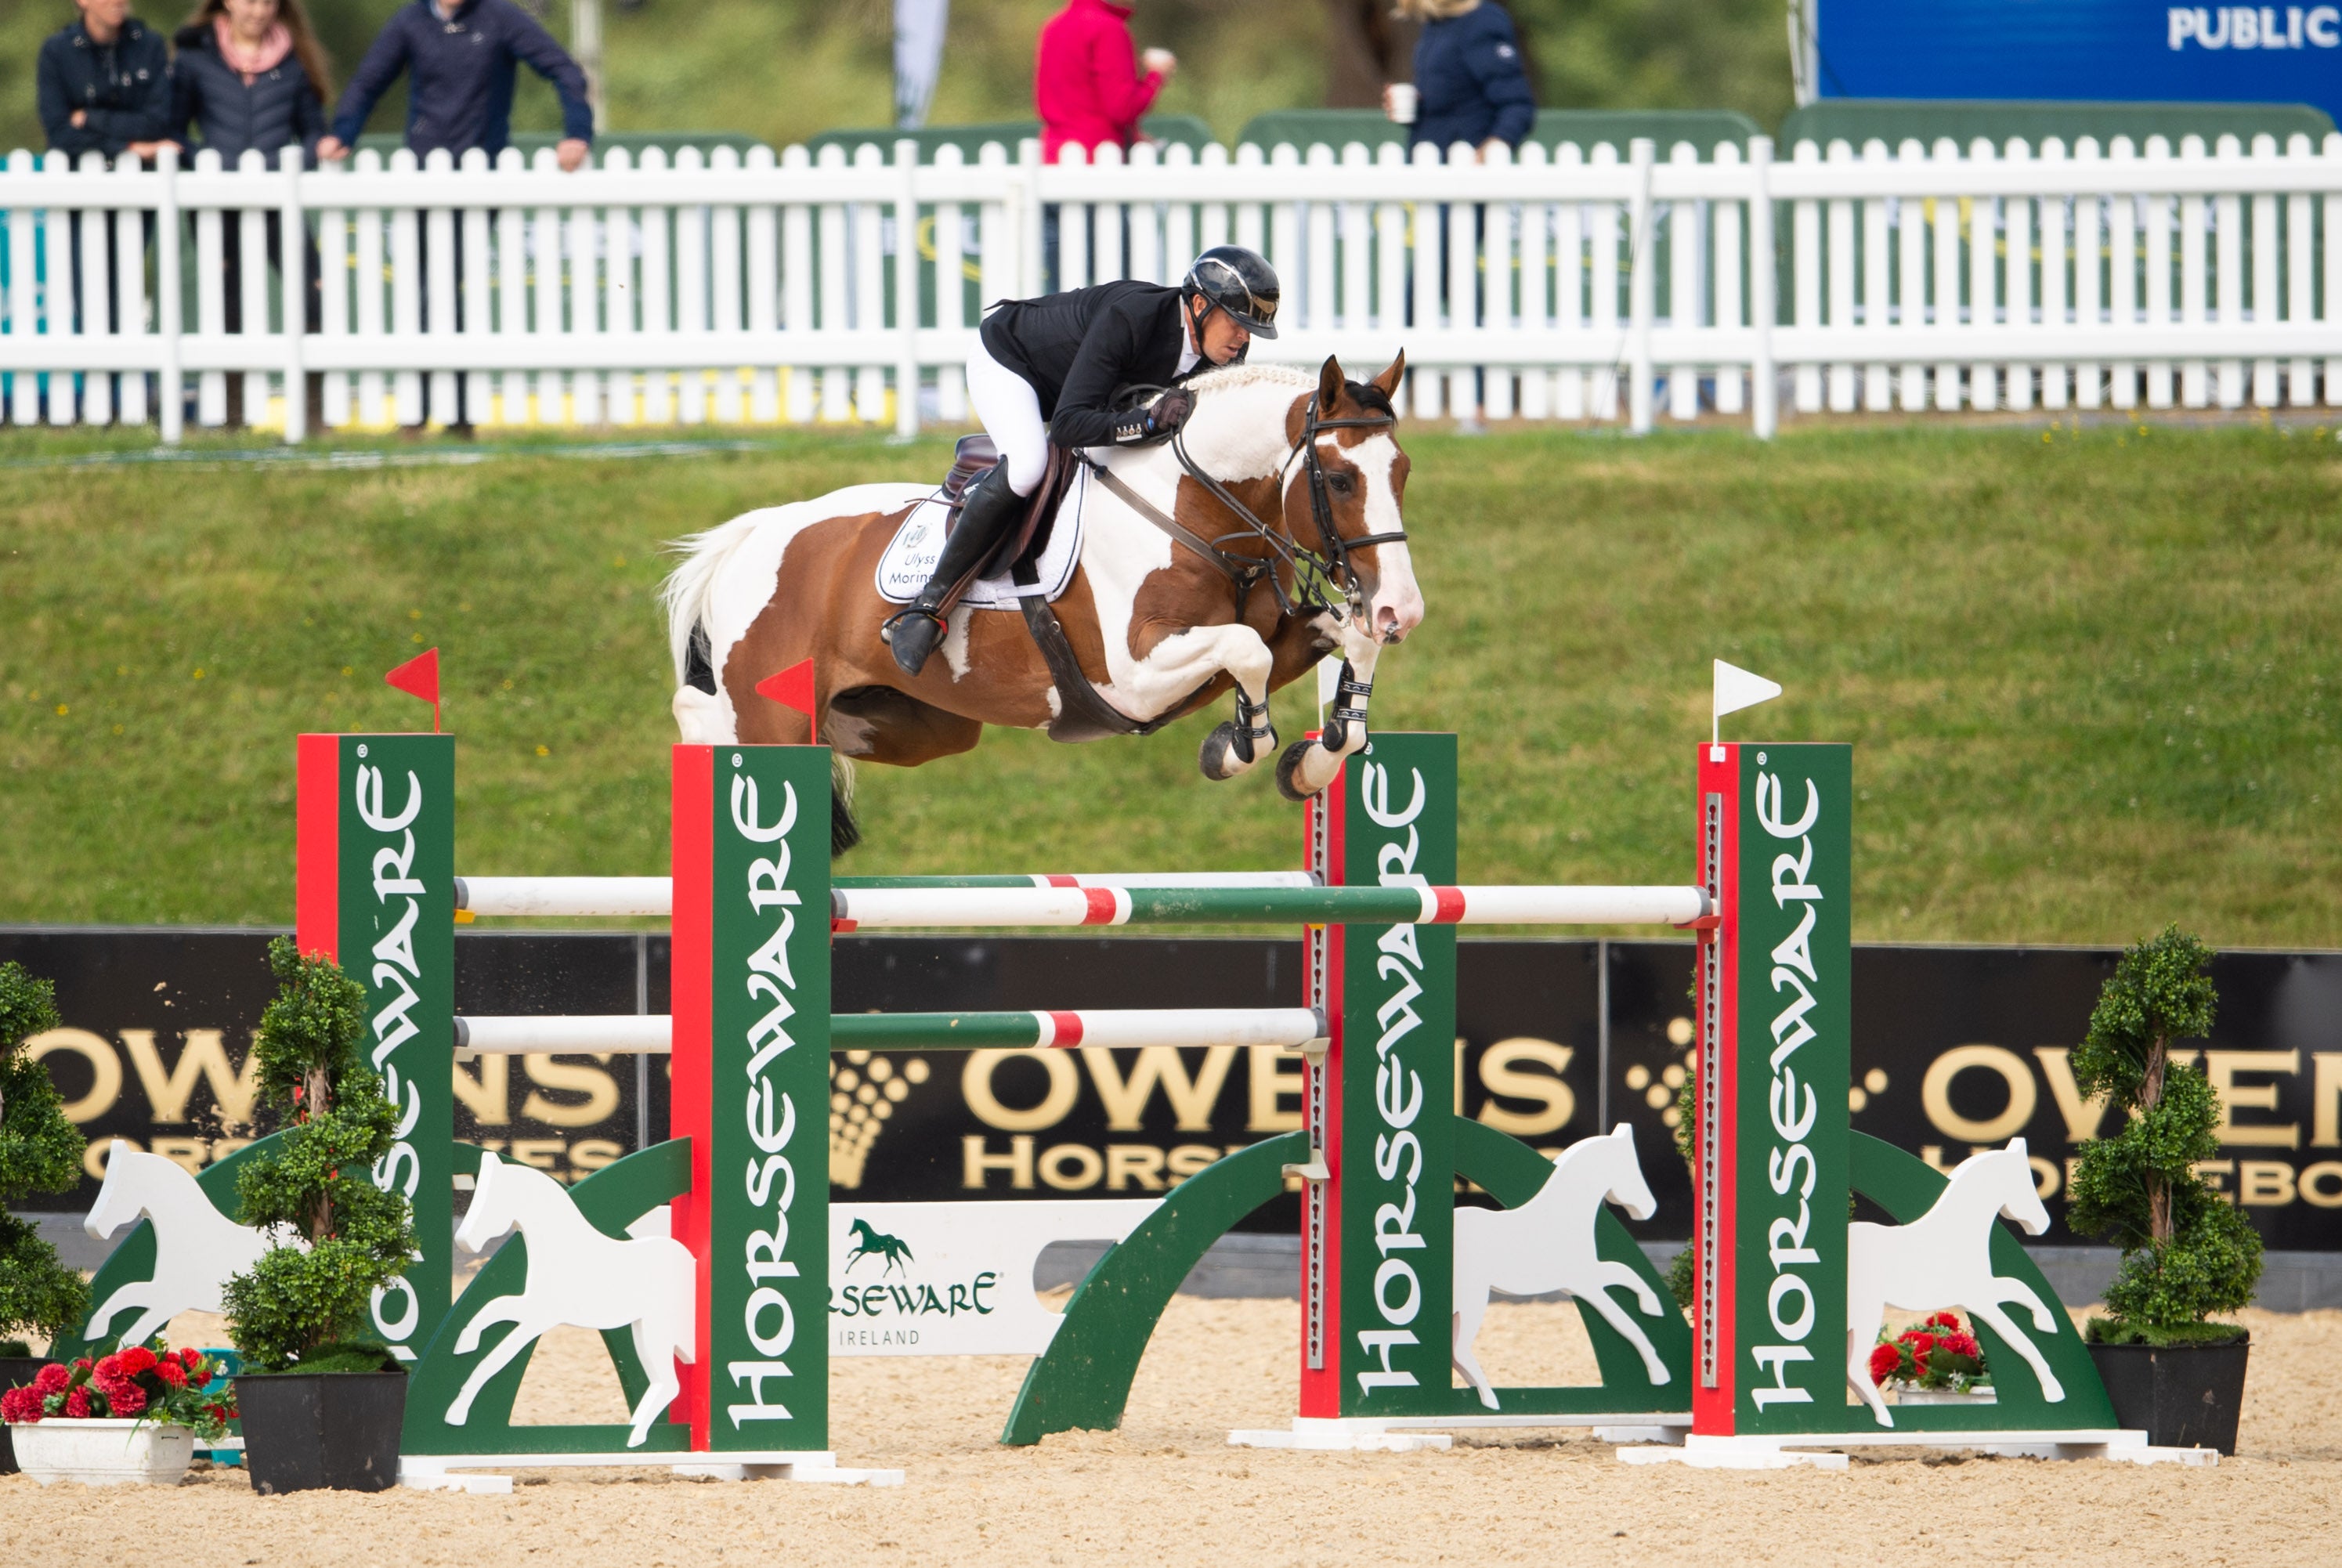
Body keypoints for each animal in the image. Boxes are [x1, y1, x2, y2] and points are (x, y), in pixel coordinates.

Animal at [81, 1140, 284, 1350]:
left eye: (121, 1189)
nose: (96, 1227)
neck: (190, 1239)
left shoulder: (171, 1302)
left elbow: (134, 1332)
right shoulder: (161, 1291)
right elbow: (125, 1293)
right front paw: (96, 1330)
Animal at [445, 1151, 696, 1449]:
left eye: (492, 1201)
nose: (465, 1241)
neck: (561, 1247)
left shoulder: (540, 1319)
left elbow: (495, 1359)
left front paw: (457, 1413)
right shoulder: (532, 1307)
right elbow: (494, 1308)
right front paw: (465, 1343)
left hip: (659, 1333)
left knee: (669, 1384)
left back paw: (634, 1439)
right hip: (646, 1332)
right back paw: (634, 1433)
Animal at [661, 354, 1423, 851]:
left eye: (1403, 471)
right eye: (1339, 478)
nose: (1403, 611)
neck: (1196, 507)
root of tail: (754, 533)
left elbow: (1337, 645)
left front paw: (1313, 759)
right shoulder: (1132, 677)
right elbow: (1247, 651)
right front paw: (1237, 746)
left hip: (909, 724)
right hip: (772, 714)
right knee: (705, 711)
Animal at [1450, 1124, 1671, 1408]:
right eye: (1634, 1172)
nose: (1649, 1209)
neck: (1564, 1214)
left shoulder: (1584, 1278)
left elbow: (1625, 1273)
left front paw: (1652, 1307)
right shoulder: (1587, 1285)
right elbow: (1626, 1322)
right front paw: (1660, 1373)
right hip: (1473, 1301)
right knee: (1460, 1350)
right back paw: (1491, 1399)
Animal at [1844, 1138, 2064, 1427]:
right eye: (2027, 1185)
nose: (2044, 1225)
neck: (1956, 1232)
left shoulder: (1983, 1291)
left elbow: (2020, 1288)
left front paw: (2046, 1323)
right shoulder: (1980, 1301)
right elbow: (2021, 1339)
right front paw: (2054, 1389)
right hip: (1866, 1317)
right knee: (1854, 1368)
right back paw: (1885, 1418)